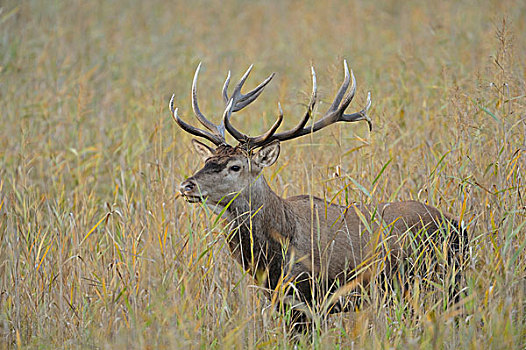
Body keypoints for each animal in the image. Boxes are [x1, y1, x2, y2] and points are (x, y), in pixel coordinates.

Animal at [170, 60, 470, 334]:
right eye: (208, 160)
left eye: (235, 166)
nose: (186, 185)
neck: (276, 250)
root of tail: (460, 227)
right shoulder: (280, 299)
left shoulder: (313, 296)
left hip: (440, 279)